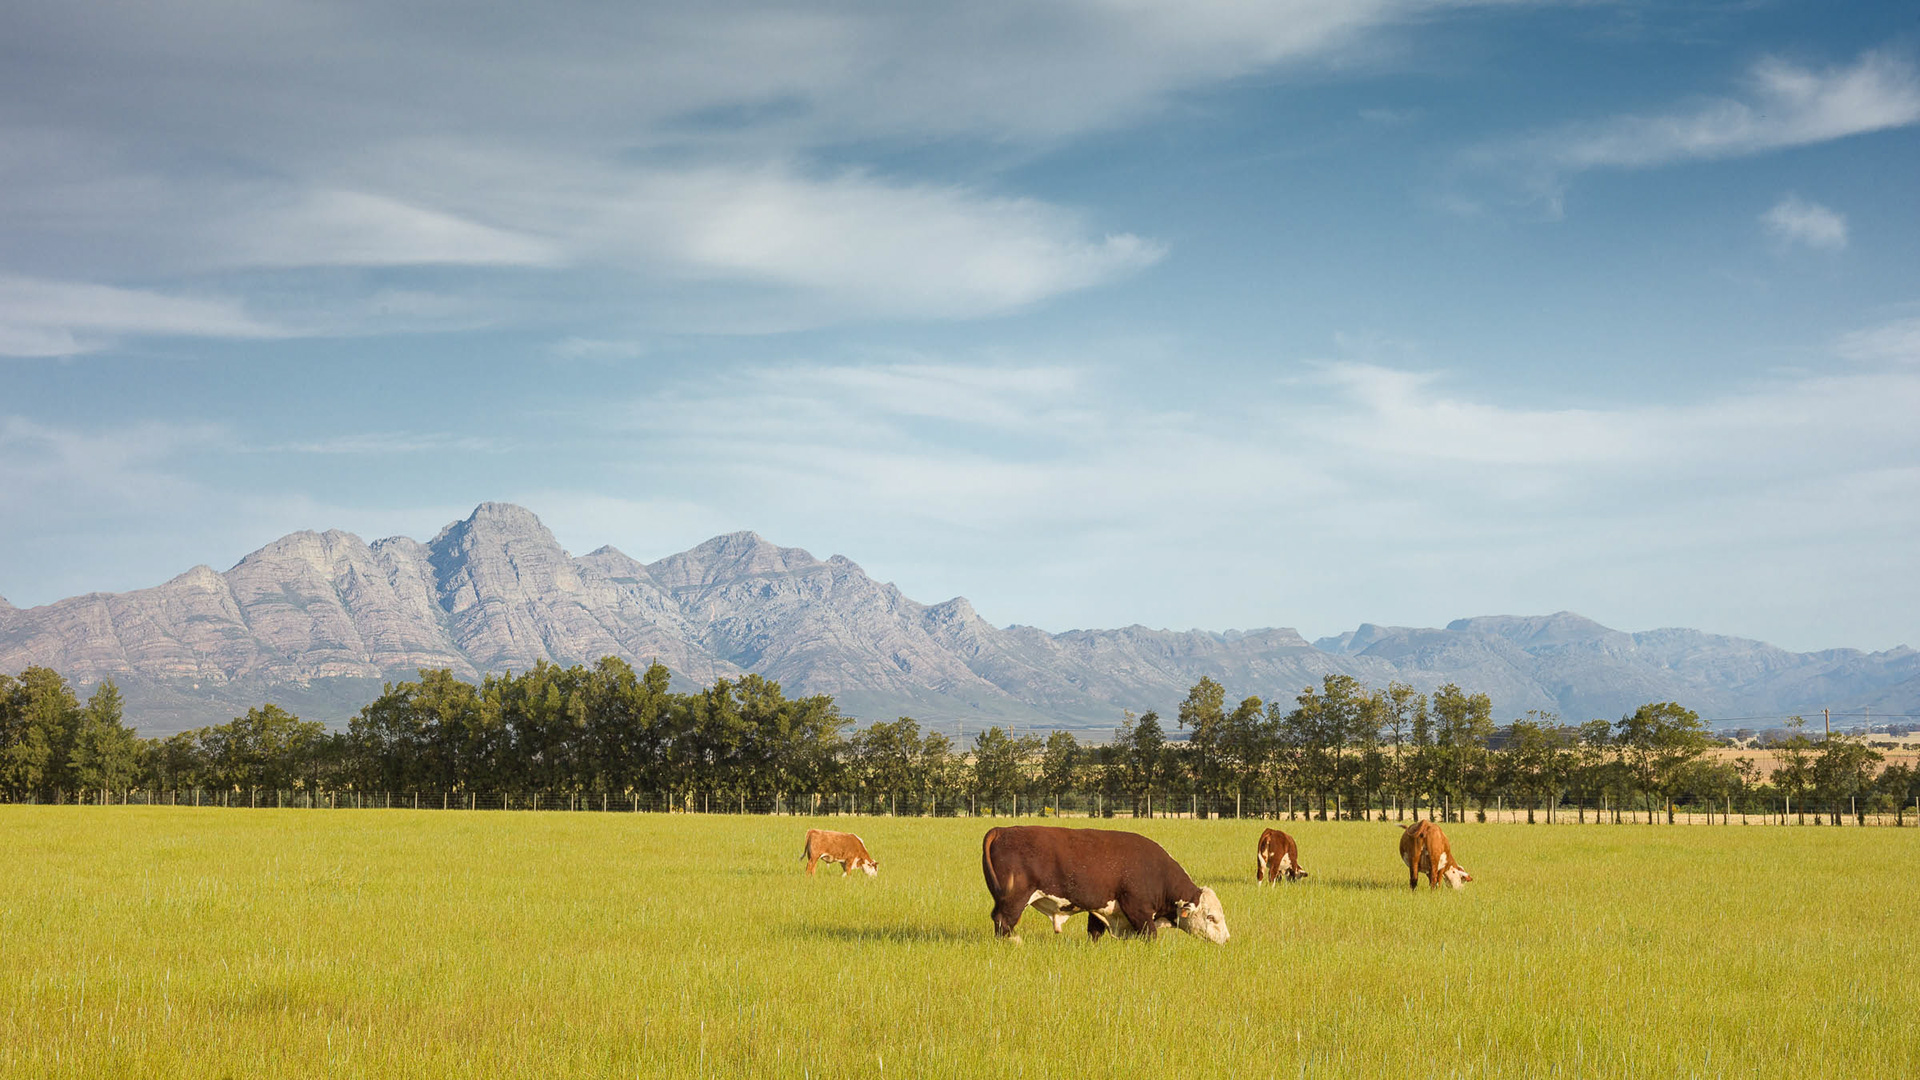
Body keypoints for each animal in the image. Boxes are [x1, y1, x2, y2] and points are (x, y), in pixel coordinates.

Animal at [980, 825, 1229, 944]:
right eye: (1211, 917)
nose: (1226, 939)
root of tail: (1002, 830)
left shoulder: (1100, 910)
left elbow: (1095, 932)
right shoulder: (1138, 909)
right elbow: (1150, 934)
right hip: (1015, 898)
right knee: (1004, 922)